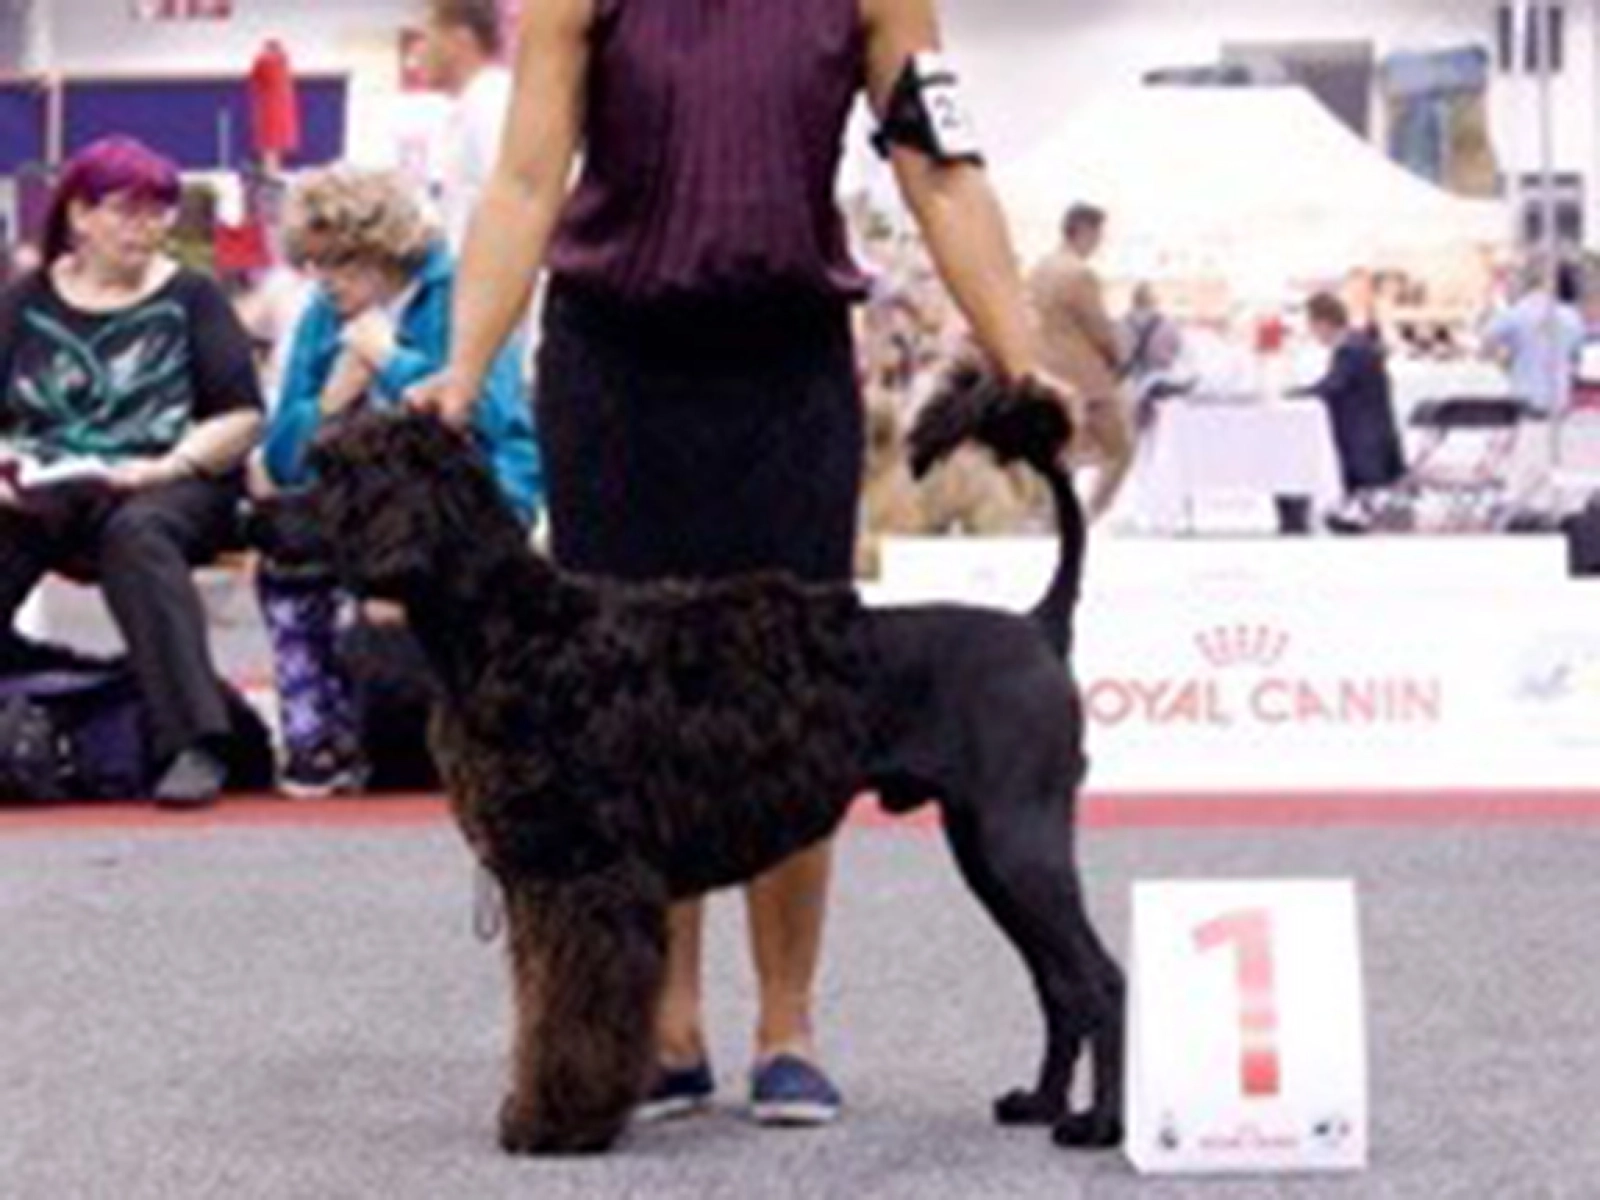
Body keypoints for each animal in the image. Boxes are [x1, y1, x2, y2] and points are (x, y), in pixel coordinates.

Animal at [308, 369, 1124, 1156]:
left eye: (339, 477)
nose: (273, 515)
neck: (514, 629)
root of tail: (1039, 626)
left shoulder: (582, 877)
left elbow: (569, 1017)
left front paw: (556, 1126)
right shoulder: (541, 884)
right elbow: (540, 1007)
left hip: (1019, 842)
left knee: (1101, 981)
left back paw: (1097, 1126)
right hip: (986, 850)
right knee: (1060, 985)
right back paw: (1040, 1104)